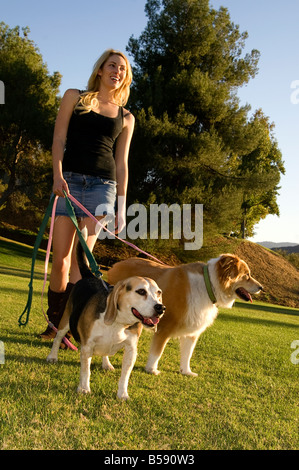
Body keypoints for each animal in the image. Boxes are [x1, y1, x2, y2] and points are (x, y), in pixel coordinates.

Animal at [48, 233, 168, 398]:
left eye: (159, 293)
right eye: (141, 291)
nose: (161, 308)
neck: (118, 323)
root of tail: (90, 276)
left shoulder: (131, 350)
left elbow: (125, 376)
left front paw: (122, 394)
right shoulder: (87, 346)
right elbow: (86, 371)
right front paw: (84, 388)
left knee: (105, 352)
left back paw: (106, 363)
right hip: (65, 320)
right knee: (58, 337)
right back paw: (52, 356)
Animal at [109, 255, 264, 376]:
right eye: (247, 275)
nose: (261, 287)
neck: (208, 285)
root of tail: (115, 265)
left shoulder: (192, 331)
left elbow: (188, 353)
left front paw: (186, 371)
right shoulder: (164, 328)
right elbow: (157, 352)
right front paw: (151, 369)